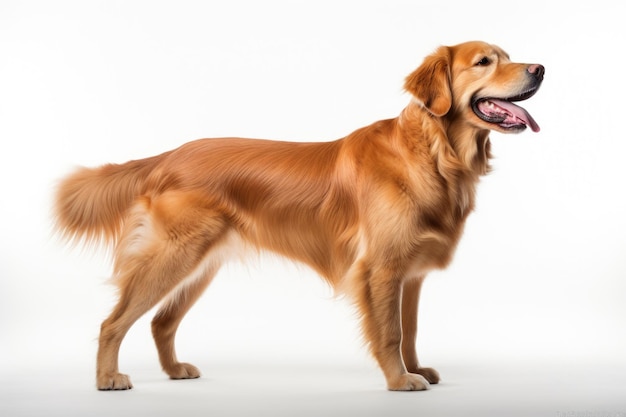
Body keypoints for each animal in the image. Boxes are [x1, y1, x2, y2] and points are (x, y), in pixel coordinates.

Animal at [53, 40, 540, 388]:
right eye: (484, 61)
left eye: (508, 56)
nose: (540, 69)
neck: (433, 153)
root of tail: (169, 155)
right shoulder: (381, 268)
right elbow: (391, 332)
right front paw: (401, 380)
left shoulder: (410, 274)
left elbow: (412, 328)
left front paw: (416, 369)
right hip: (173, 255)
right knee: (113, 321)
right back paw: (107, 378)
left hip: (200, 263)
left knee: (160, 321)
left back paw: (174, 371)